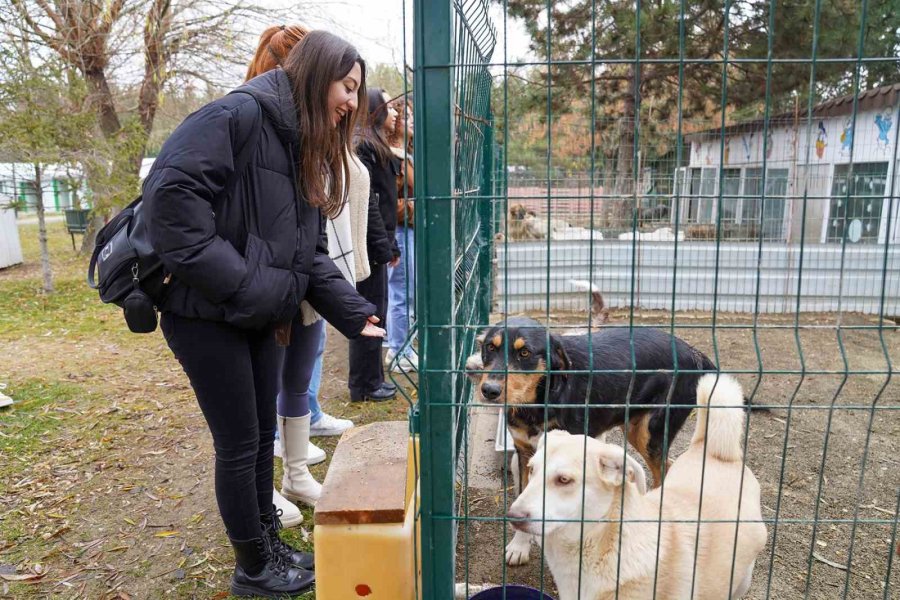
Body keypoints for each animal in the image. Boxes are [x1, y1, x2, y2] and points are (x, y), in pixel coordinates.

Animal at [472, 316, 716, 564]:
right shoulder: (524, 452)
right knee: (668, 464)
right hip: (635, 428)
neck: (540, 400)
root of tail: (695, 353)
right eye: (490, 348)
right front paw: (519, 546)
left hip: (651, 432)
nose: (489, 390)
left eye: (524, 353)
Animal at [510, 376, 764, 600]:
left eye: (564, 479)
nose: (513, 516)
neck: (606, 544)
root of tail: (712, 450)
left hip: (742, 577)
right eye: (531, 470)